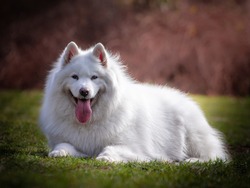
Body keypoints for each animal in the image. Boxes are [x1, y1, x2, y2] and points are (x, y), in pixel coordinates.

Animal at [40, 41, 229, 162]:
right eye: (75, 77)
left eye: (94, 77)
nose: (84, 92)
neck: (90, 122)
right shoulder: (70, 143)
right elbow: (63, 145)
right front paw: (58, 153)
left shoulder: (134, 148)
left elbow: (110, 148)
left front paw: (106, 157)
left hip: (194, 137)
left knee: (215, 157)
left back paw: (192, 161)